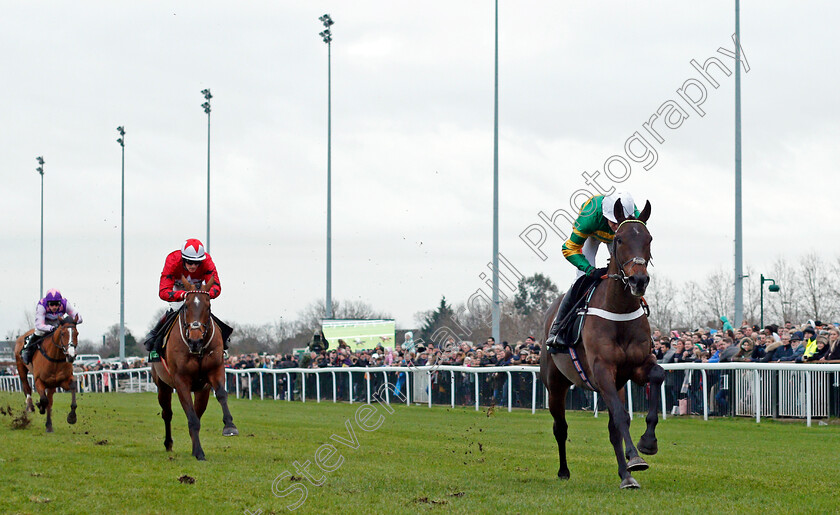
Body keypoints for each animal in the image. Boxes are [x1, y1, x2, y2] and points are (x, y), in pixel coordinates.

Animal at [149, 280, 236, 462]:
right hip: (163, 386)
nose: (195, 341)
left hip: (201, 391)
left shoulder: (214, 372)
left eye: (208, 306)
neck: (198, 350)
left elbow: (221, 395)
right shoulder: (181, 381)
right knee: (167, 413)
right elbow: (191, 417)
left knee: (197, 412)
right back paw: (168, 443)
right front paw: (199, 452)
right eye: (186, 306)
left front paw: (230, 426)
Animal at [540, 200, 668, 490]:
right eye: (619, 239)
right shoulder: (601, 371)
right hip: (555, 383)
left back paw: (626, 476)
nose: (639, 280)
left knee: (613, 428)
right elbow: (621, 417)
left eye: (649, 238)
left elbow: (656, 376)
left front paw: (647, 443)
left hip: (616, 385)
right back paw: (564, 471)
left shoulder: (635, 367)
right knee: (560, 427)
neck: (619, 310)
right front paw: (636, 458)